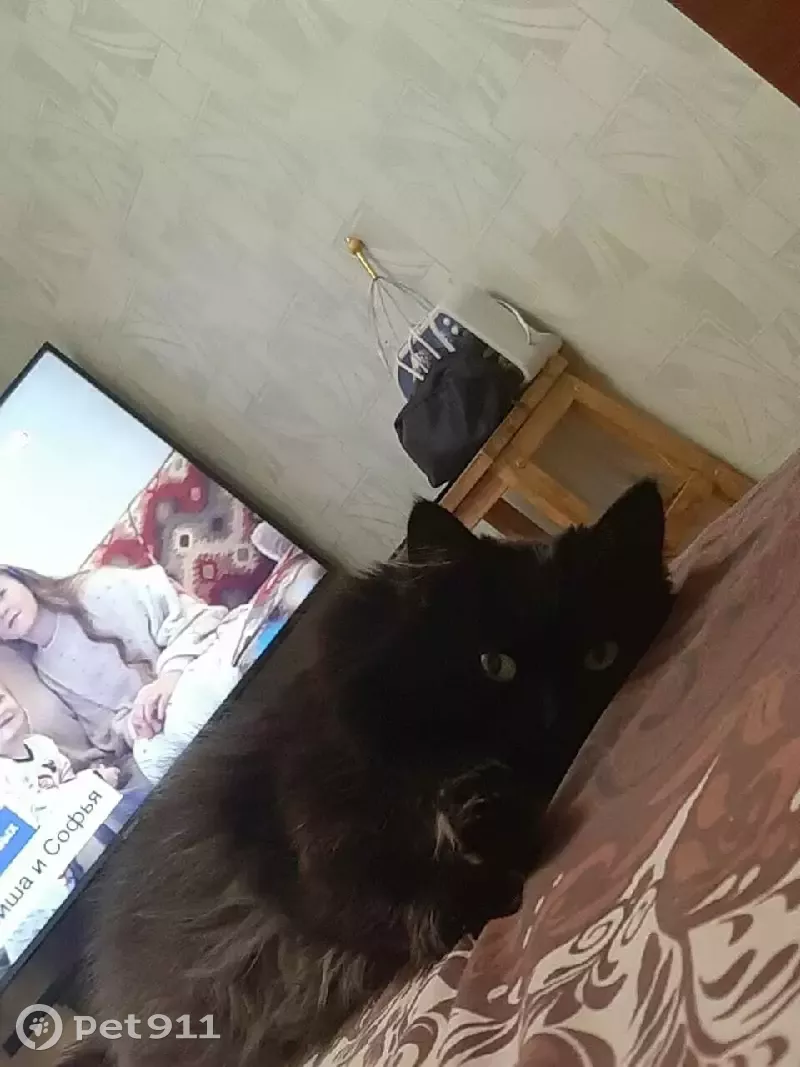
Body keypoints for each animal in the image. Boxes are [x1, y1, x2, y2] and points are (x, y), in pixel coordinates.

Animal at [61, 481, 673, 1067]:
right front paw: (483, 873)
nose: (554, 720)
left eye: (601, 655)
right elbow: (394, 898)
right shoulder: (310, 861)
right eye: (495, 665)